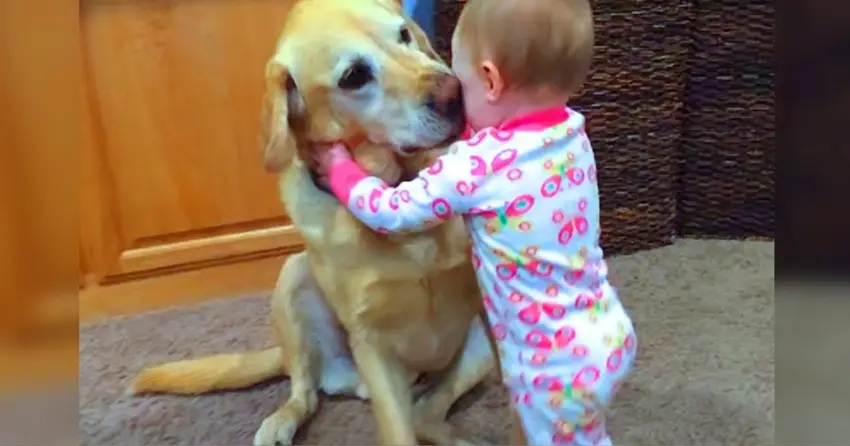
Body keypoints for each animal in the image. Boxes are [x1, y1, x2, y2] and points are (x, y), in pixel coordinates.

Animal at [126, 0, 496, 444]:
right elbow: (396, 431)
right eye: (354, 76)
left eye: (404, 34)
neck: (396, 186)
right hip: (294, 279)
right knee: (307, 391)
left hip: (476, 351)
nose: (455, 93)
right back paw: (281, 420)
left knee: (425, 411)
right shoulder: (370, 341)